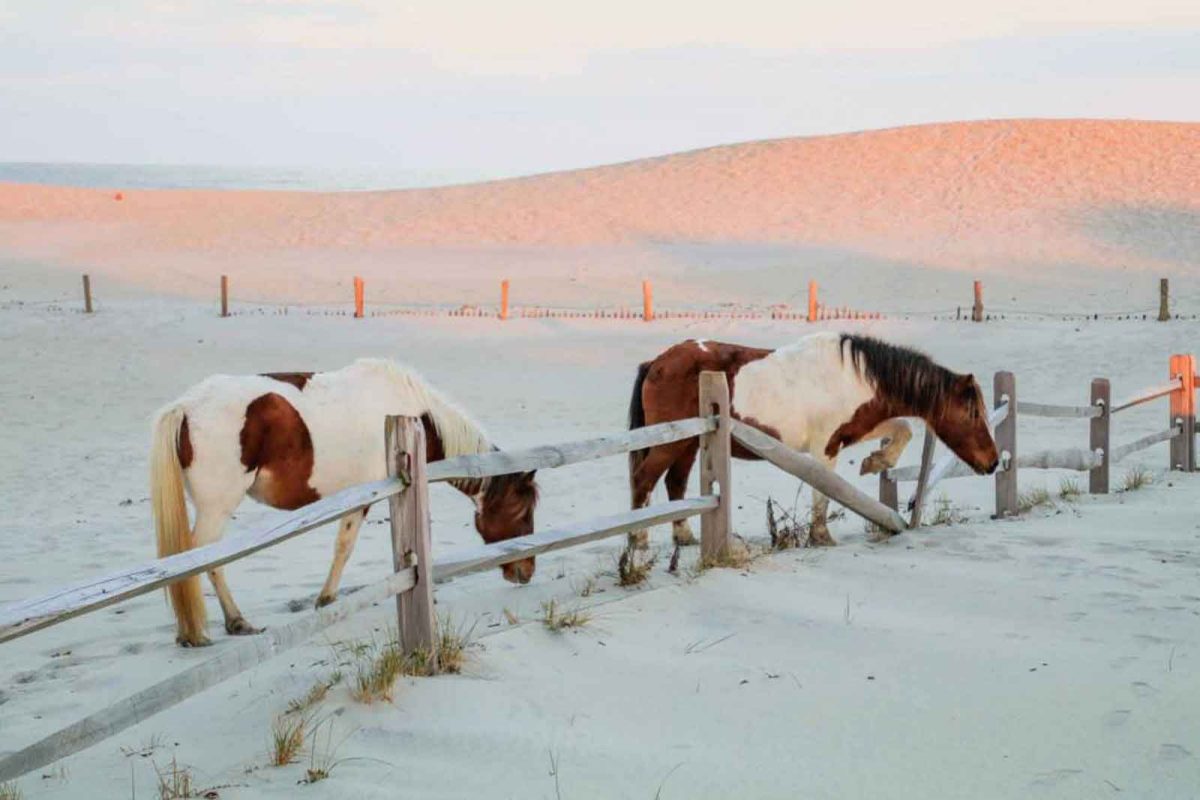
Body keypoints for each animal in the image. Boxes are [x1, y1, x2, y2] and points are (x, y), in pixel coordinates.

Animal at [624, 335, 998, 546]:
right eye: (973, 414)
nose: (994, 462)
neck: (854, 376)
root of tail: (657, 362)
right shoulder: (826, 447)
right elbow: (824, 491)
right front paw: (821, 536)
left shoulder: (854, 430)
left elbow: (902, 428)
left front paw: (876, 461)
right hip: (671, 443)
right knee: (644, 480)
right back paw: (638, 539)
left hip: (688, 443)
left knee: (674, 483)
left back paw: (683, 537)